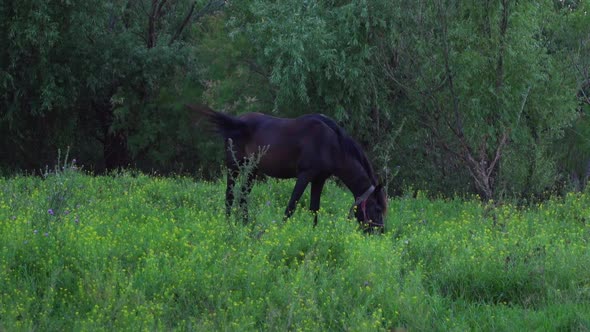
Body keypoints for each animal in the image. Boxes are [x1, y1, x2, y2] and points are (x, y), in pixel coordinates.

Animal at [191, 105, 388, 232]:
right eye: (378, 209)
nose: (379, 232)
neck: (332, 143)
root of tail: (237, 121)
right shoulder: (305, 175)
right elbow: (291, 207)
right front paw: (281, 232)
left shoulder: (319, 179)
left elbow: (314, 208)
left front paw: (313, 234)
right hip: (234, 167)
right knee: (230, 195)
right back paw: (229, 224)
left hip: (252, 170)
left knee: (243, 196)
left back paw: (244, 225)